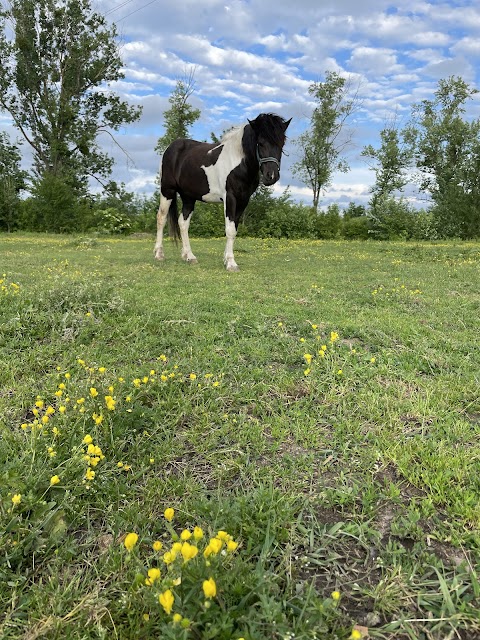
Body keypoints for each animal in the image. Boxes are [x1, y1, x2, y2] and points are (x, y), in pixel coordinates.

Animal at [154, 112, 290, 270]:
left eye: (282, 144)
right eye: (261, 142)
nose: (271, 176)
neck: (239, 161)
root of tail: (171, 148)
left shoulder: (243, 200)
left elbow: (234, 229)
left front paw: (226, 259)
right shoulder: (230, 198)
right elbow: (229, 229)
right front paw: (231, 263)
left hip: (188, 196)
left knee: (183, 223)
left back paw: (189, 256)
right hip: (167, 190)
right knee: (161, 218)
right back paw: (159, 254)